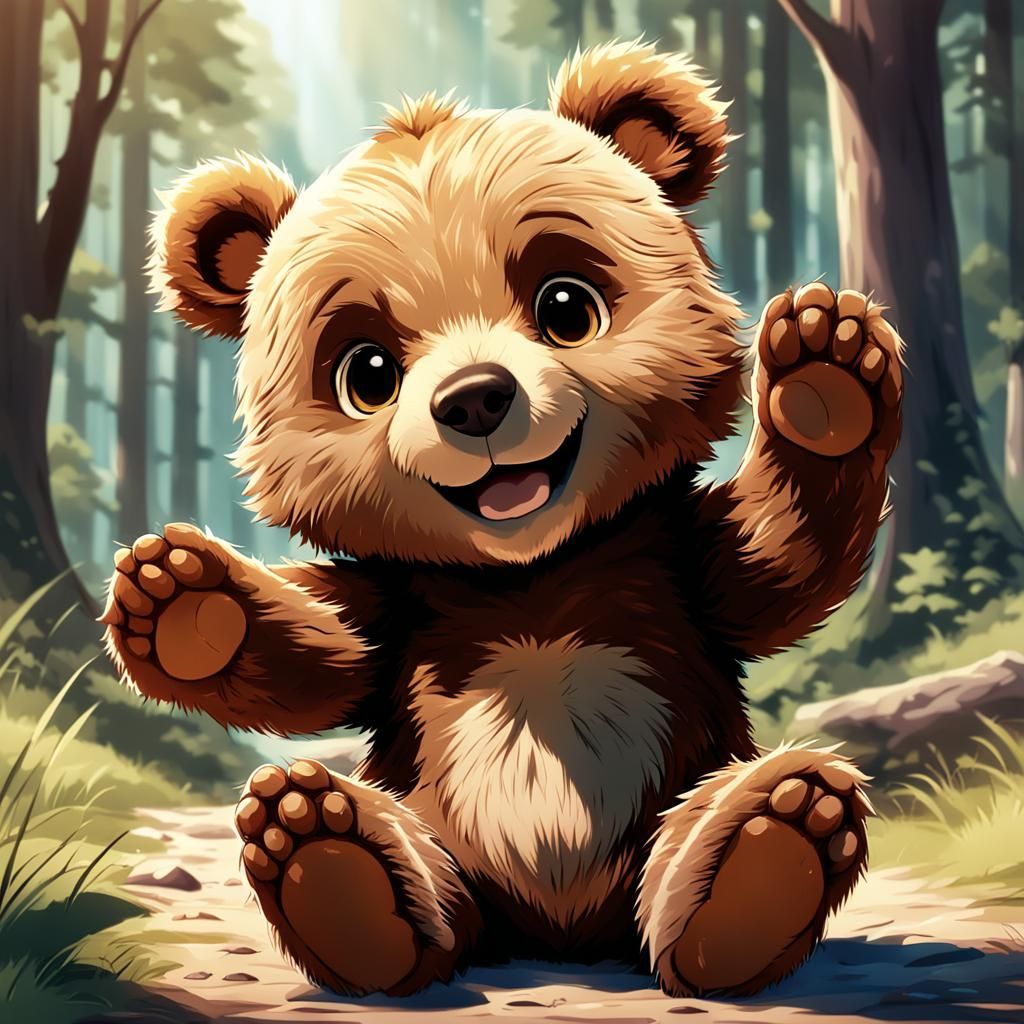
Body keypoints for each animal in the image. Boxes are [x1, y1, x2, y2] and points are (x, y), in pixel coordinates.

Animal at [102, 42, 903, 999]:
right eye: (367, 372)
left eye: (566, 307)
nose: (475, 400)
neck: (530, 579)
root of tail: (564, 936)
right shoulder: (402, 604)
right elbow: (322, 659)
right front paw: (179, 600)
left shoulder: (668, 552)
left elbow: (775, 567)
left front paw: (827, 375)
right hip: (438, 827)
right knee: (418, 881)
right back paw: (335, 870)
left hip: (669, 807)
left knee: (703, 843)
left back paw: (763, 860)